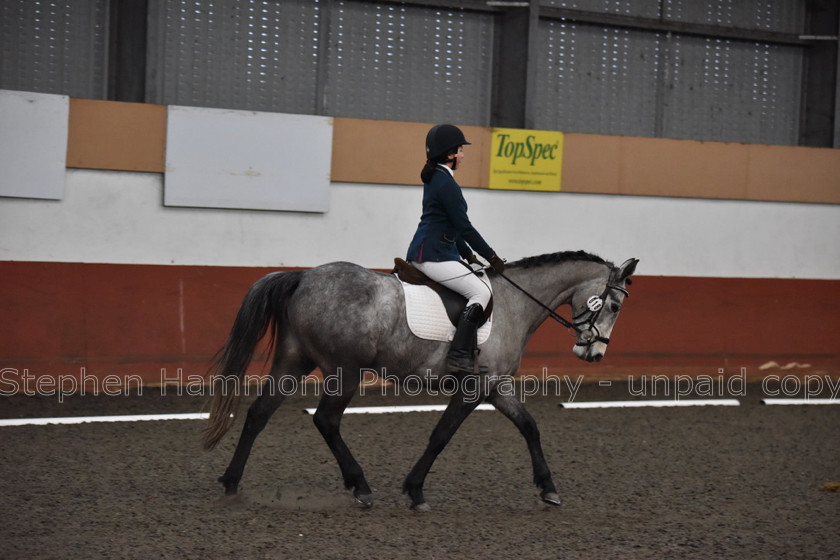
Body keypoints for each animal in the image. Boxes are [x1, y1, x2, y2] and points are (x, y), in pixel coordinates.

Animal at [202, 252, 636, 510]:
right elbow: (441, 436)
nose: (594, 355)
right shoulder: (474, 389)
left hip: (294, 361)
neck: (516, 304)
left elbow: (529, 426)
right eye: (615, 305)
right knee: (325, 420)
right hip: (345, 371)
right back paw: (360, 485)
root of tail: (304, 277)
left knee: (259, 413)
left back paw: (232, 482)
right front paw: (415, 490)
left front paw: (547, 487)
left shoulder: (496, 386)